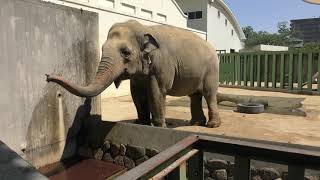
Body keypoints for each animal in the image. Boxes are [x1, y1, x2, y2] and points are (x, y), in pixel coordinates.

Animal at [46, 19, 221, 128]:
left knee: (209, 94)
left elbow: (156, 92)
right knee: (195, 95)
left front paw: (160, 126)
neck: (145, 28)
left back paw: (212, 125)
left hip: (211, 70)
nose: (47, 77)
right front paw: (142, 123)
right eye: (102, 49)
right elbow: (137, 94)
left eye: (126, 52)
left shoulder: (161, 65)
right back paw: (196, 123)